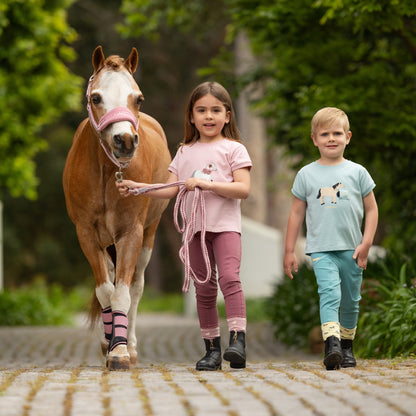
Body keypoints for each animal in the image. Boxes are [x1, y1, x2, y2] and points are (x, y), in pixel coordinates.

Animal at [63, 46, 171, 370]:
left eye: (138, 98)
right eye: (96, 98)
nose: (124, 140)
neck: (106, 173)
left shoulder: (131, 233)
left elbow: (123, 293)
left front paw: (121, 351)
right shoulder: (86, 234)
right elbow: (105, 291)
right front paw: (109, 342)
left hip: (149, 234)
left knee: (136, 287)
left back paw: (130, 345)